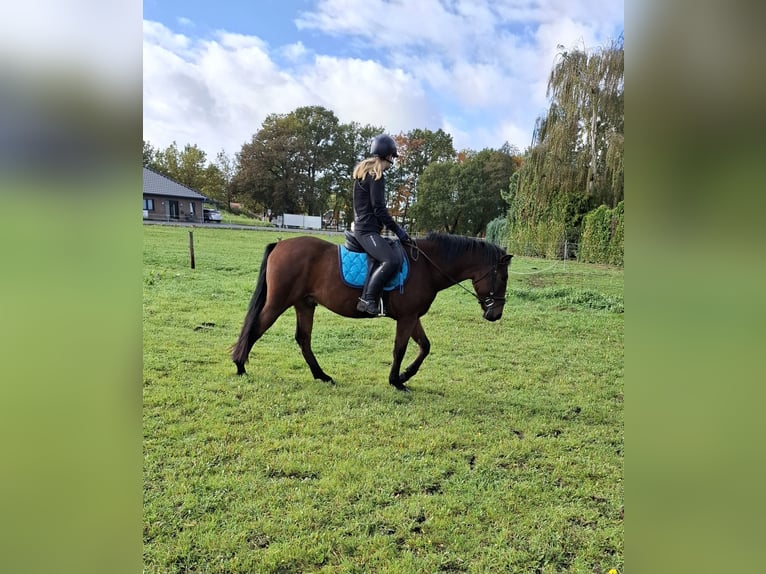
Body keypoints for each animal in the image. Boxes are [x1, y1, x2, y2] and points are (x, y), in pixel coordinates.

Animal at [231, 232, 512, 390]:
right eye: (503, 278)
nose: (495, 314)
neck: (428, 266)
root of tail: (280, 245)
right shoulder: (407, 318)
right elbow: (400, 349)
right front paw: (396, 381)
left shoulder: (412, 317)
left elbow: (425, 346)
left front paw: (406, 375)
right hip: (278, 302)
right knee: (256, 329)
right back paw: (240, 367)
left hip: (305, 304)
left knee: (303, 340)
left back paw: (321, 375)